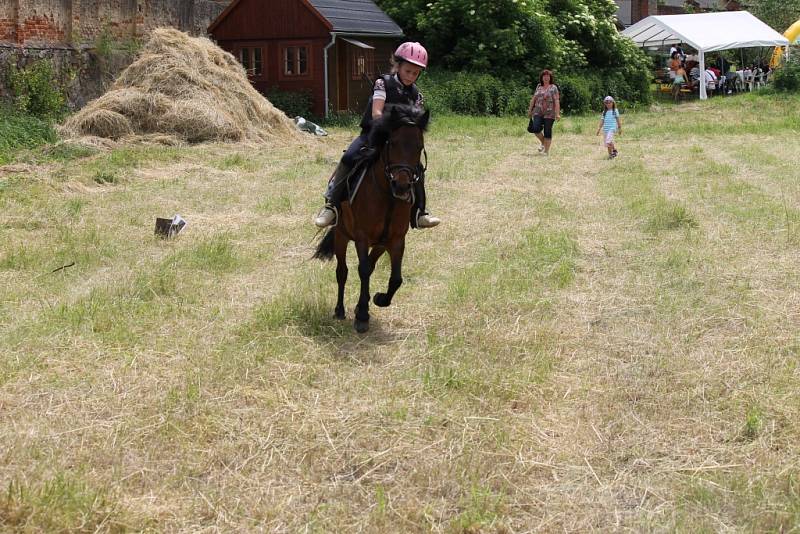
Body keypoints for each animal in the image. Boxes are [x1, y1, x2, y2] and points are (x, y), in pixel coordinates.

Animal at [312, 103, 428, 336]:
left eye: (419, 147)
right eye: (392, 143)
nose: (402, 186)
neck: (387, 196)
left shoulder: (396, 240)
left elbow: (396, 278)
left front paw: (379, 299)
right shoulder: (361, 237)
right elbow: (362, 270)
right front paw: (362, 317)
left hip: (381, 243)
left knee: (371, 264)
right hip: (341, 236)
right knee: (342, 272)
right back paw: (340, 310)